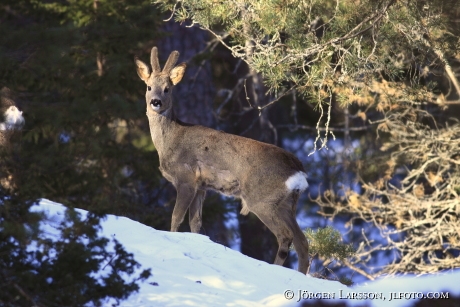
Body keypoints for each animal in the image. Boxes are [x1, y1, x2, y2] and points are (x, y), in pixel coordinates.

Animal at [135, 46, 310, 274]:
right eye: (148, 87)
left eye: (167, 89)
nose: (155, 102)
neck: (170, 140)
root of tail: (298, 170)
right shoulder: (201, 187)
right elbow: (195, 223)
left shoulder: (186, 179)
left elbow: (176, 218)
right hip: (287, 202)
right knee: (302, 241)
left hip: (261, 198)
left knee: (285, 236)